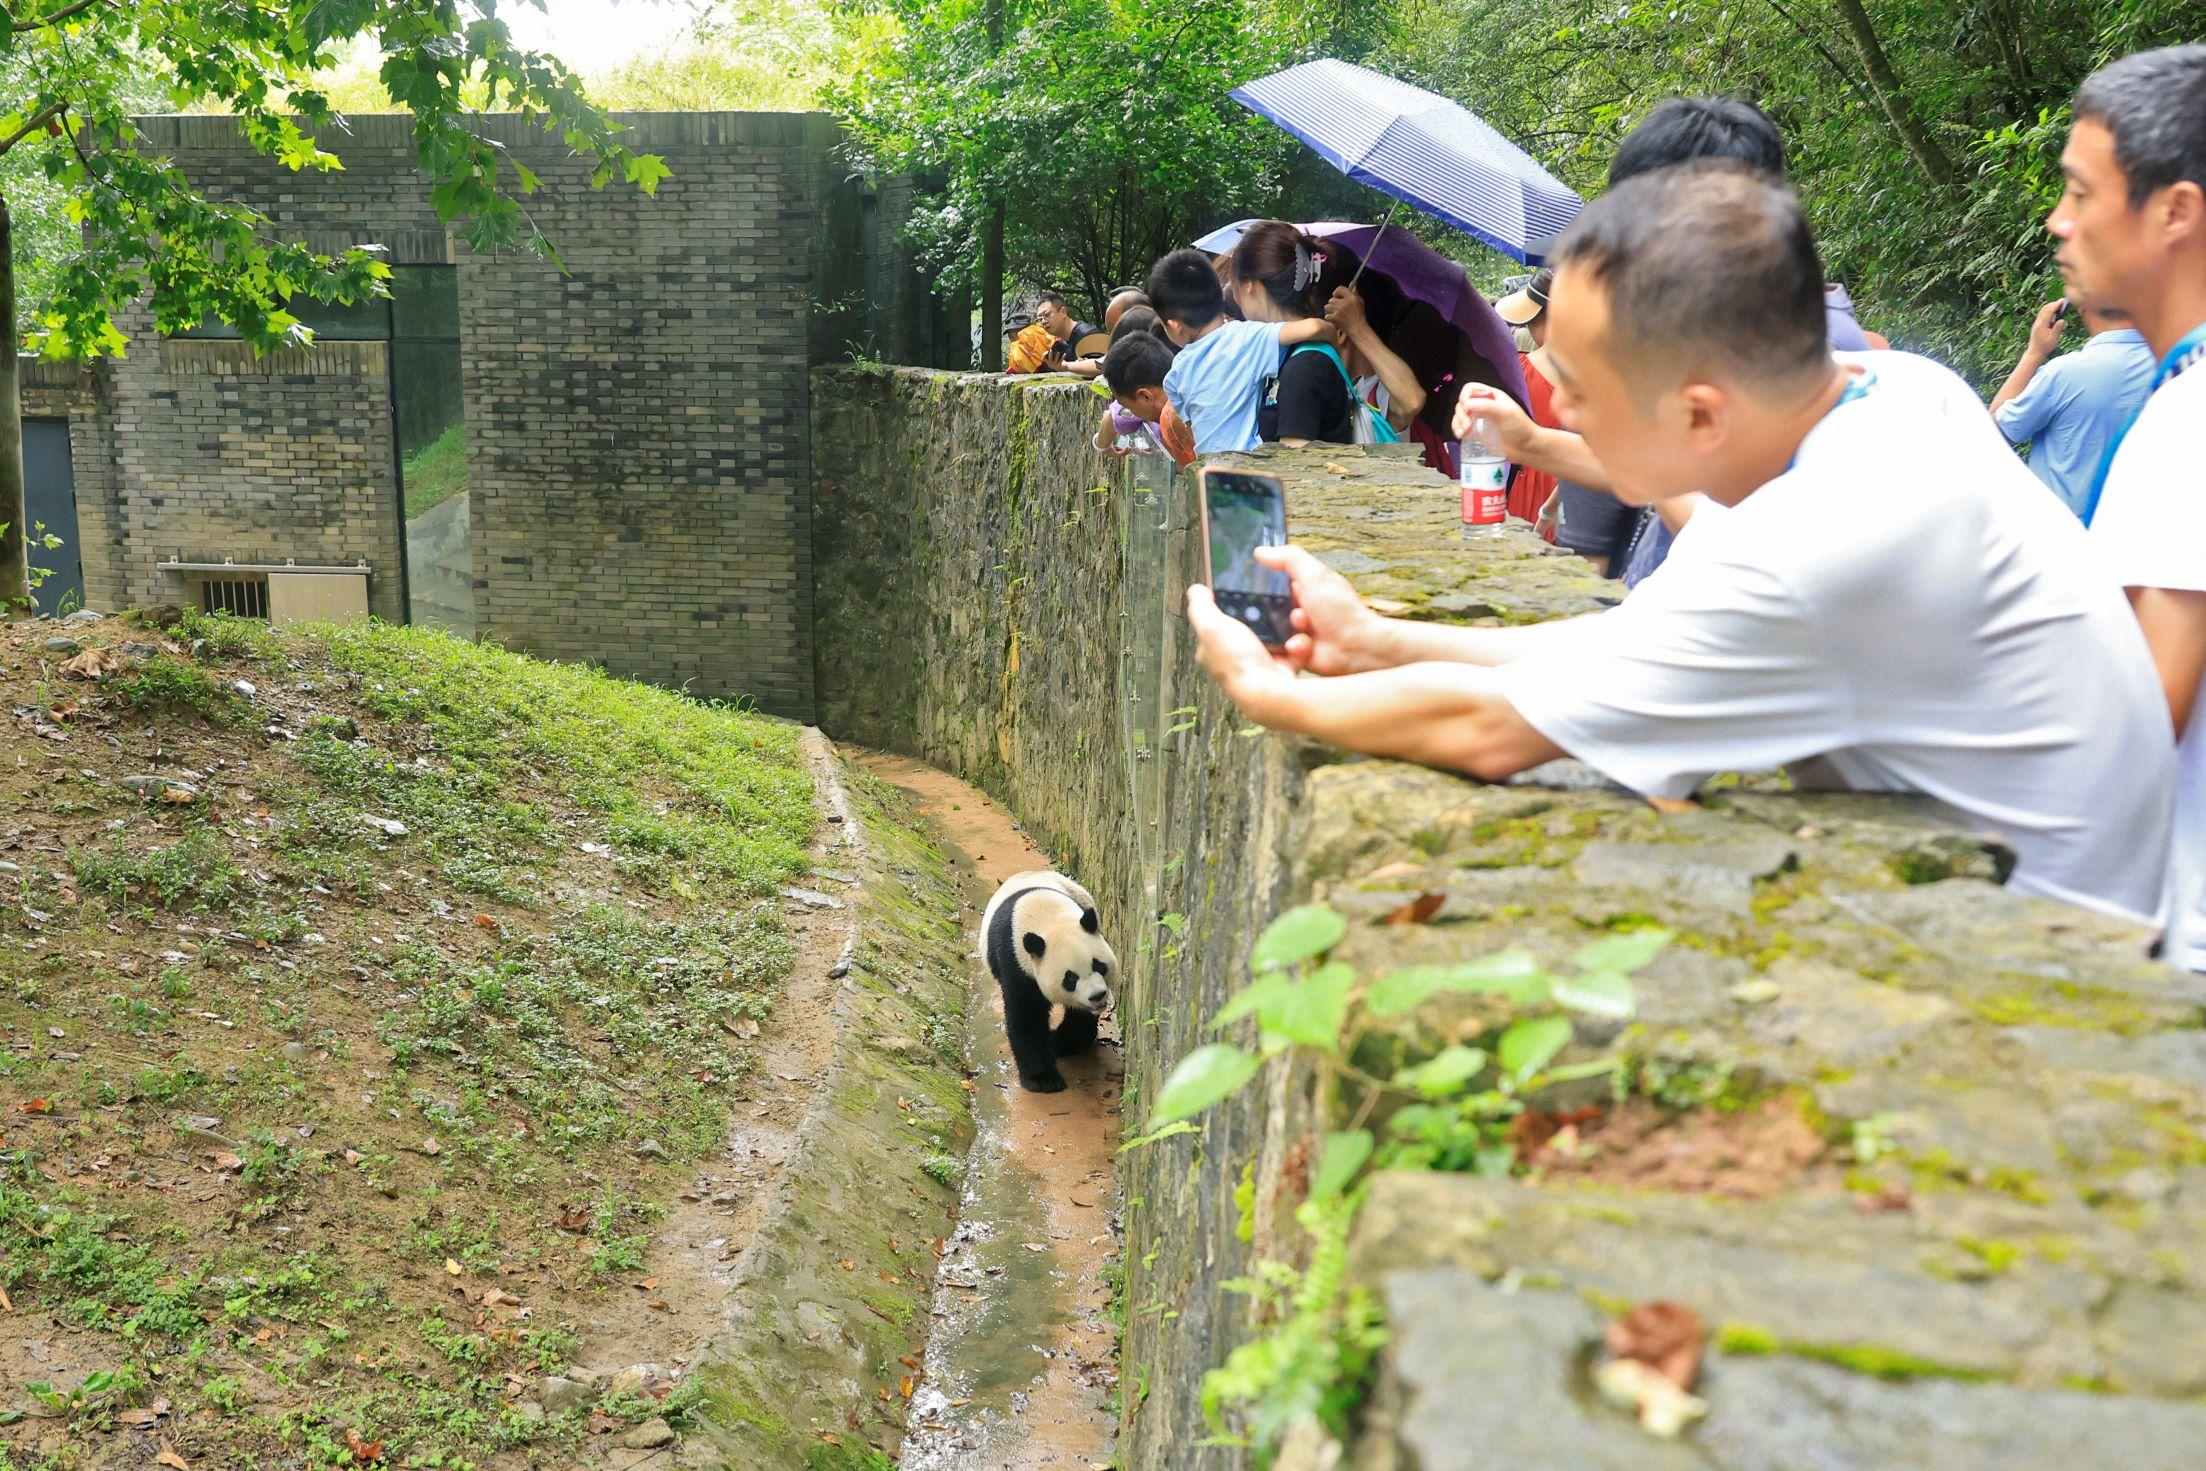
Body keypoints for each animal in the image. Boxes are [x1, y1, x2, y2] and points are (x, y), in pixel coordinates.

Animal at [981, 870, 1117, 1093]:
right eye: (1070, 978)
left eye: (1098, 965)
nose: (1097, 996)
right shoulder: (1015, 961)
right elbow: (1026, 1015)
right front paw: (1044, 1080)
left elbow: (1079, 1015)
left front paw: (1060, 1042)